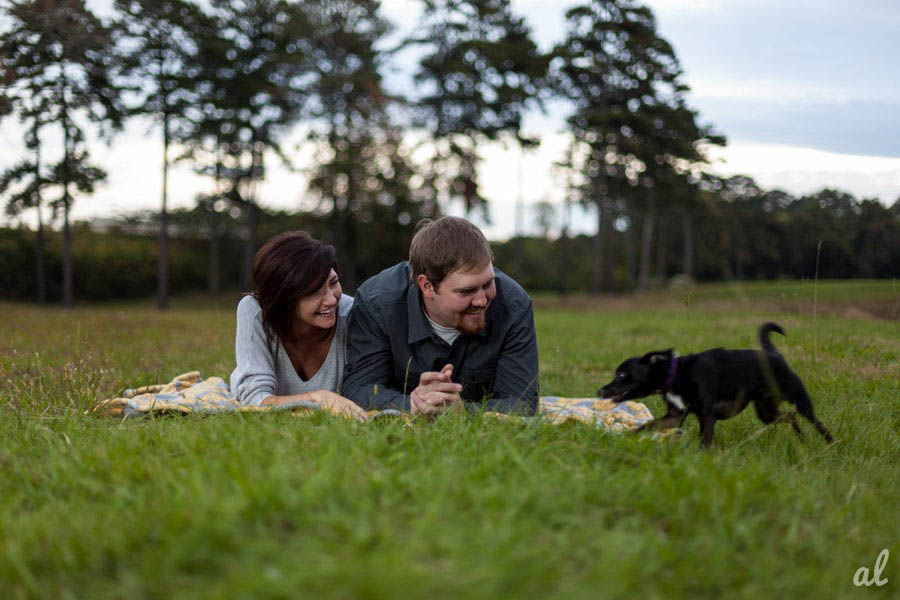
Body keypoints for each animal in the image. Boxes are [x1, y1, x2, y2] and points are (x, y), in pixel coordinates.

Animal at [600, 324, 832, 446]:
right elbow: (646, 426)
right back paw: (801, 439)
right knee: (789, 416)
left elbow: (704, 441)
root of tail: (775, 355)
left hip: (799, 399)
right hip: (766, 411)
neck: (675, 374)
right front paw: (624, 438)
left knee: (815, 421)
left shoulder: (707, 415)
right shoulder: (675, 416)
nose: (600, 390)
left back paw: (830, 443)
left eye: (622, 375)